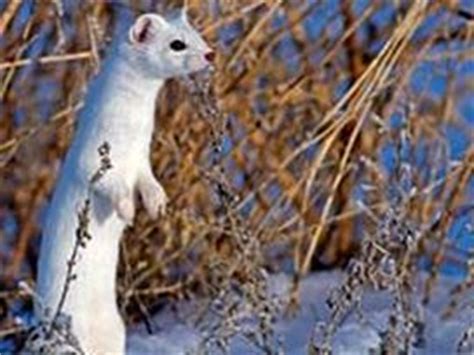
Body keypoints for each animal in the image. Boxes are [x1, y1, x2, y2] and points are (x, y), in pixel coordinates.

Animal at [36, 11, 214, 355]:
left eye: (197, 33)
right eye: (177, 44)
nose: (211, 53)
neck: (130, 136)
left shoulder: (141, 160)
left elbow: (149, 182)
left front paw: (157, 204)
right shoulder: (93, 162)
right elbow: (111, 187)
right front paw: (128, 210)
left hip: (116, 332)